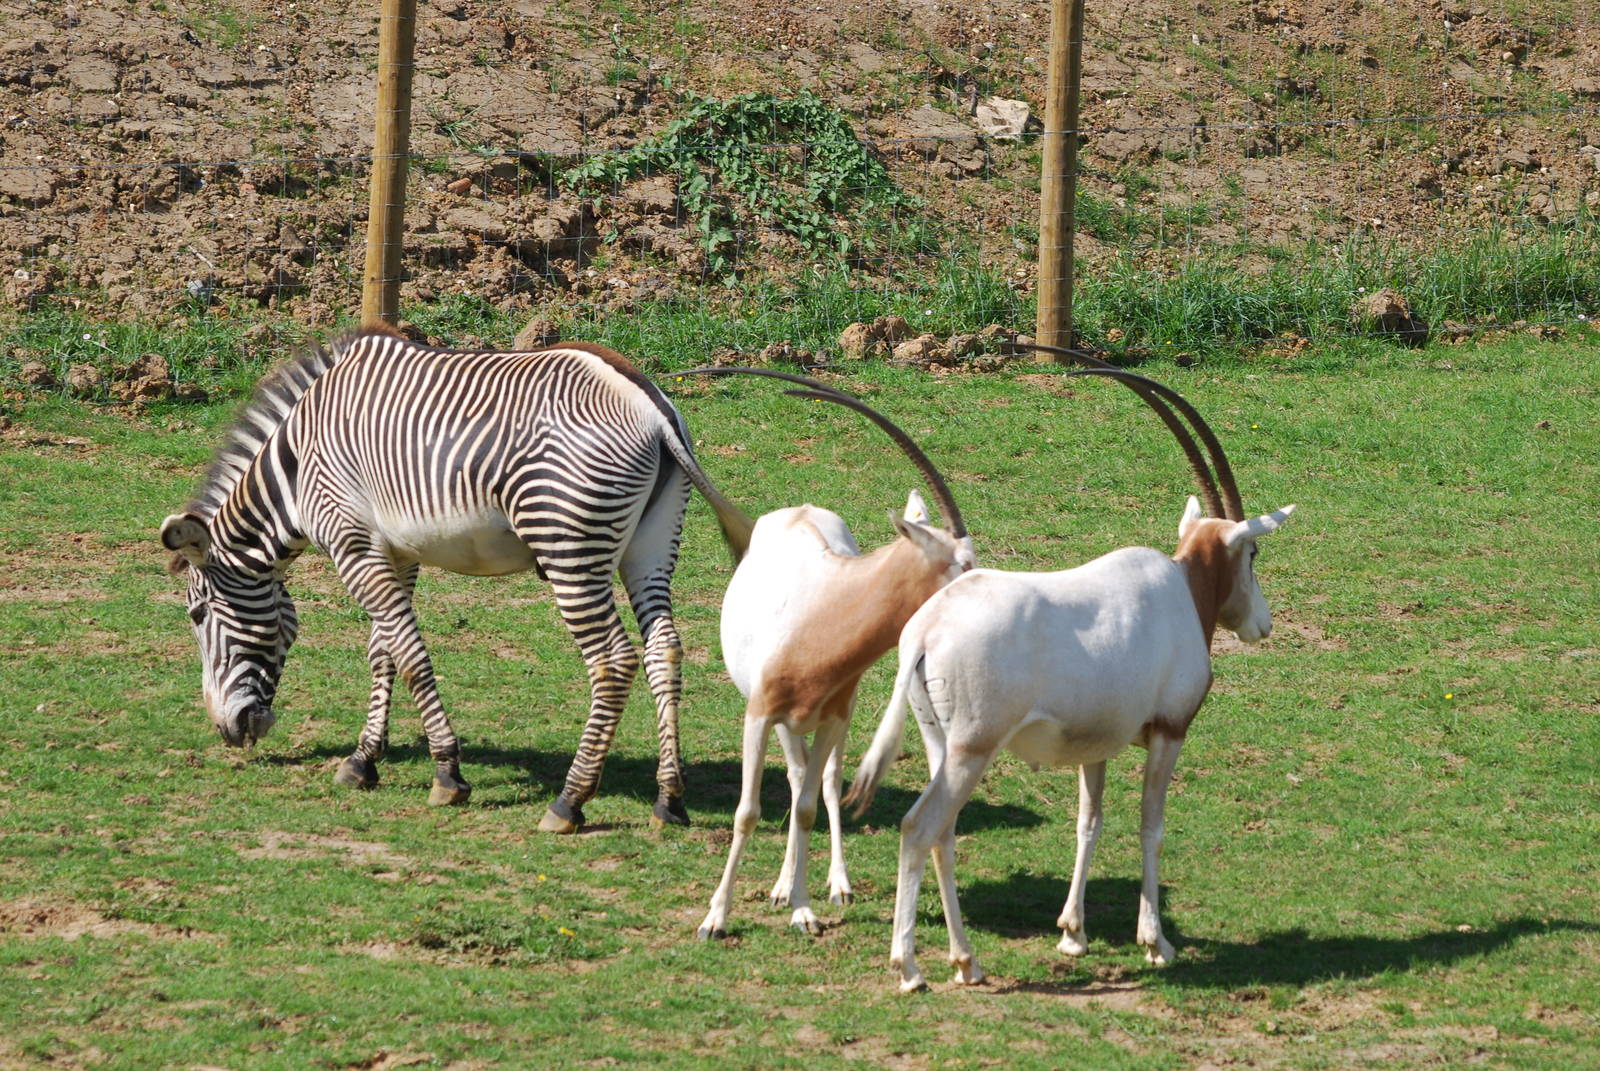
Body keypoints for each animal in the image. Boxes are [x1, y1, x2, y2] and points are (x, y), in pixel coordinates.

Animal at [160, 325, 752, 833]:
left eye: (197, 615)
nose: (229, 731)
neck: (295, 467)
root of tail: (650, 407)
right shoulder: (396, 551)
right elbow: (384, 650)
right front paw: (363, 760)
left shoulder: (354, 544)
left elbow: (410, 655)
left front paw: (447, 772)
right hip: (651, 545)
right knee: (664, 649)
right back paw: (668, 799)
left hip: (568, 545)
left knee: (612, 661)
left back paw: (570, 800)